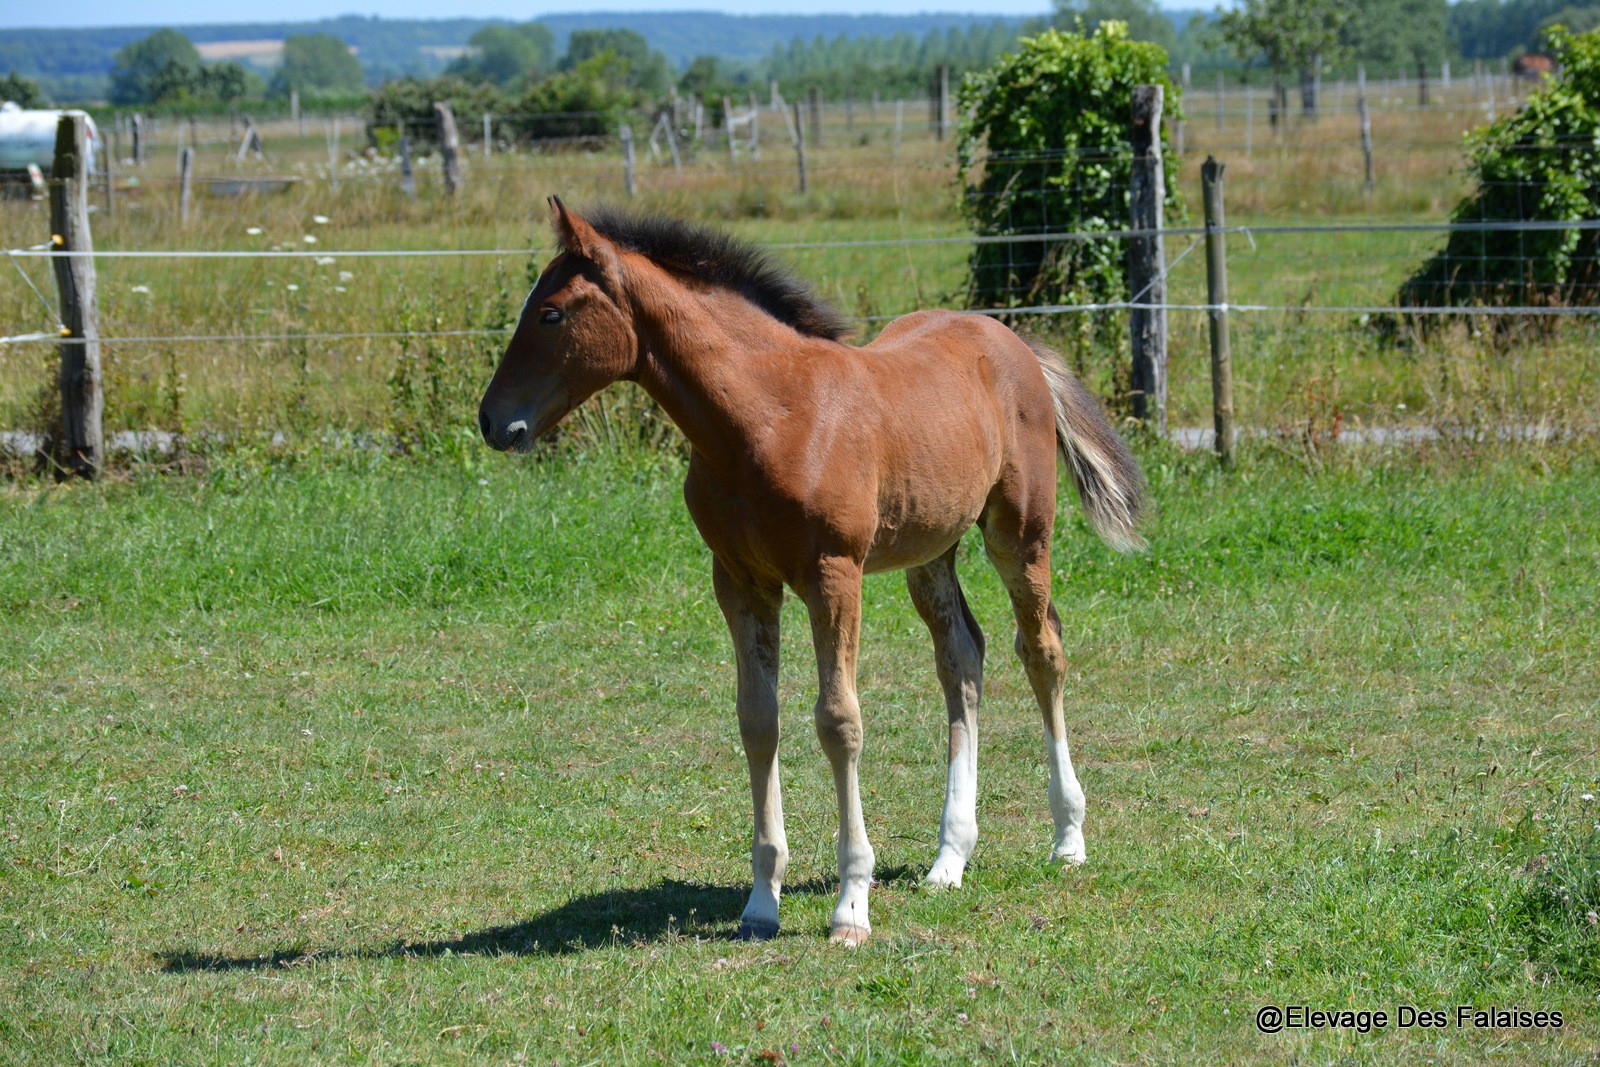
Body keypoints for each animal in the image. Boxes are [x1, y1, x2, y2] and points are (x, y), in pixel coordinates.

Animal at [480, 198, 1145, 940]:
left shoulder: (833, 574)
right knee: (962, 659)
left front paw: (852, 903)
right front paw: (760, 901)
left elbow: (838, 720)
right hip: (929, 551)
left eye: (551, 313)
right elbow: (757, 719)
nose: (492, 420)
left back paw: (1067, 837)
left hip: (1019, 534)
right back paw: (949, 858)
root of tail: (1013, 341)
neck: (767, 416)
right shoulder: (740, 581)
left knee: (1041, 650)